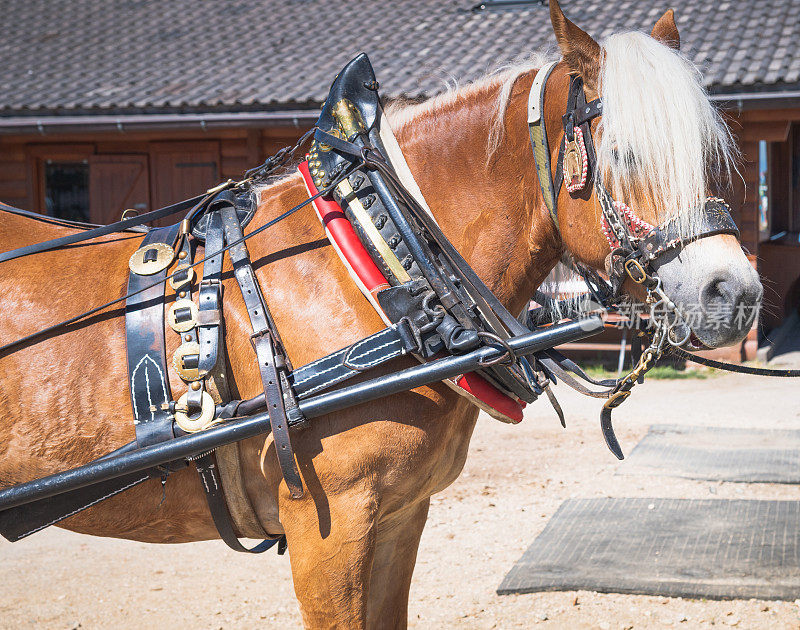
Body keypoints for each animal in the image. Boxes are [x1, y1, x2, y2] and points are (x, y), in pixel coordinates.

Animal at [0, 2, 764, 628]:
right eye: (626, 154)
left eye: (709, 150)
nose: (734, 293)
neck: (376, 266)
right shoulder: (327, 531)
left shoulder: (399, 517)